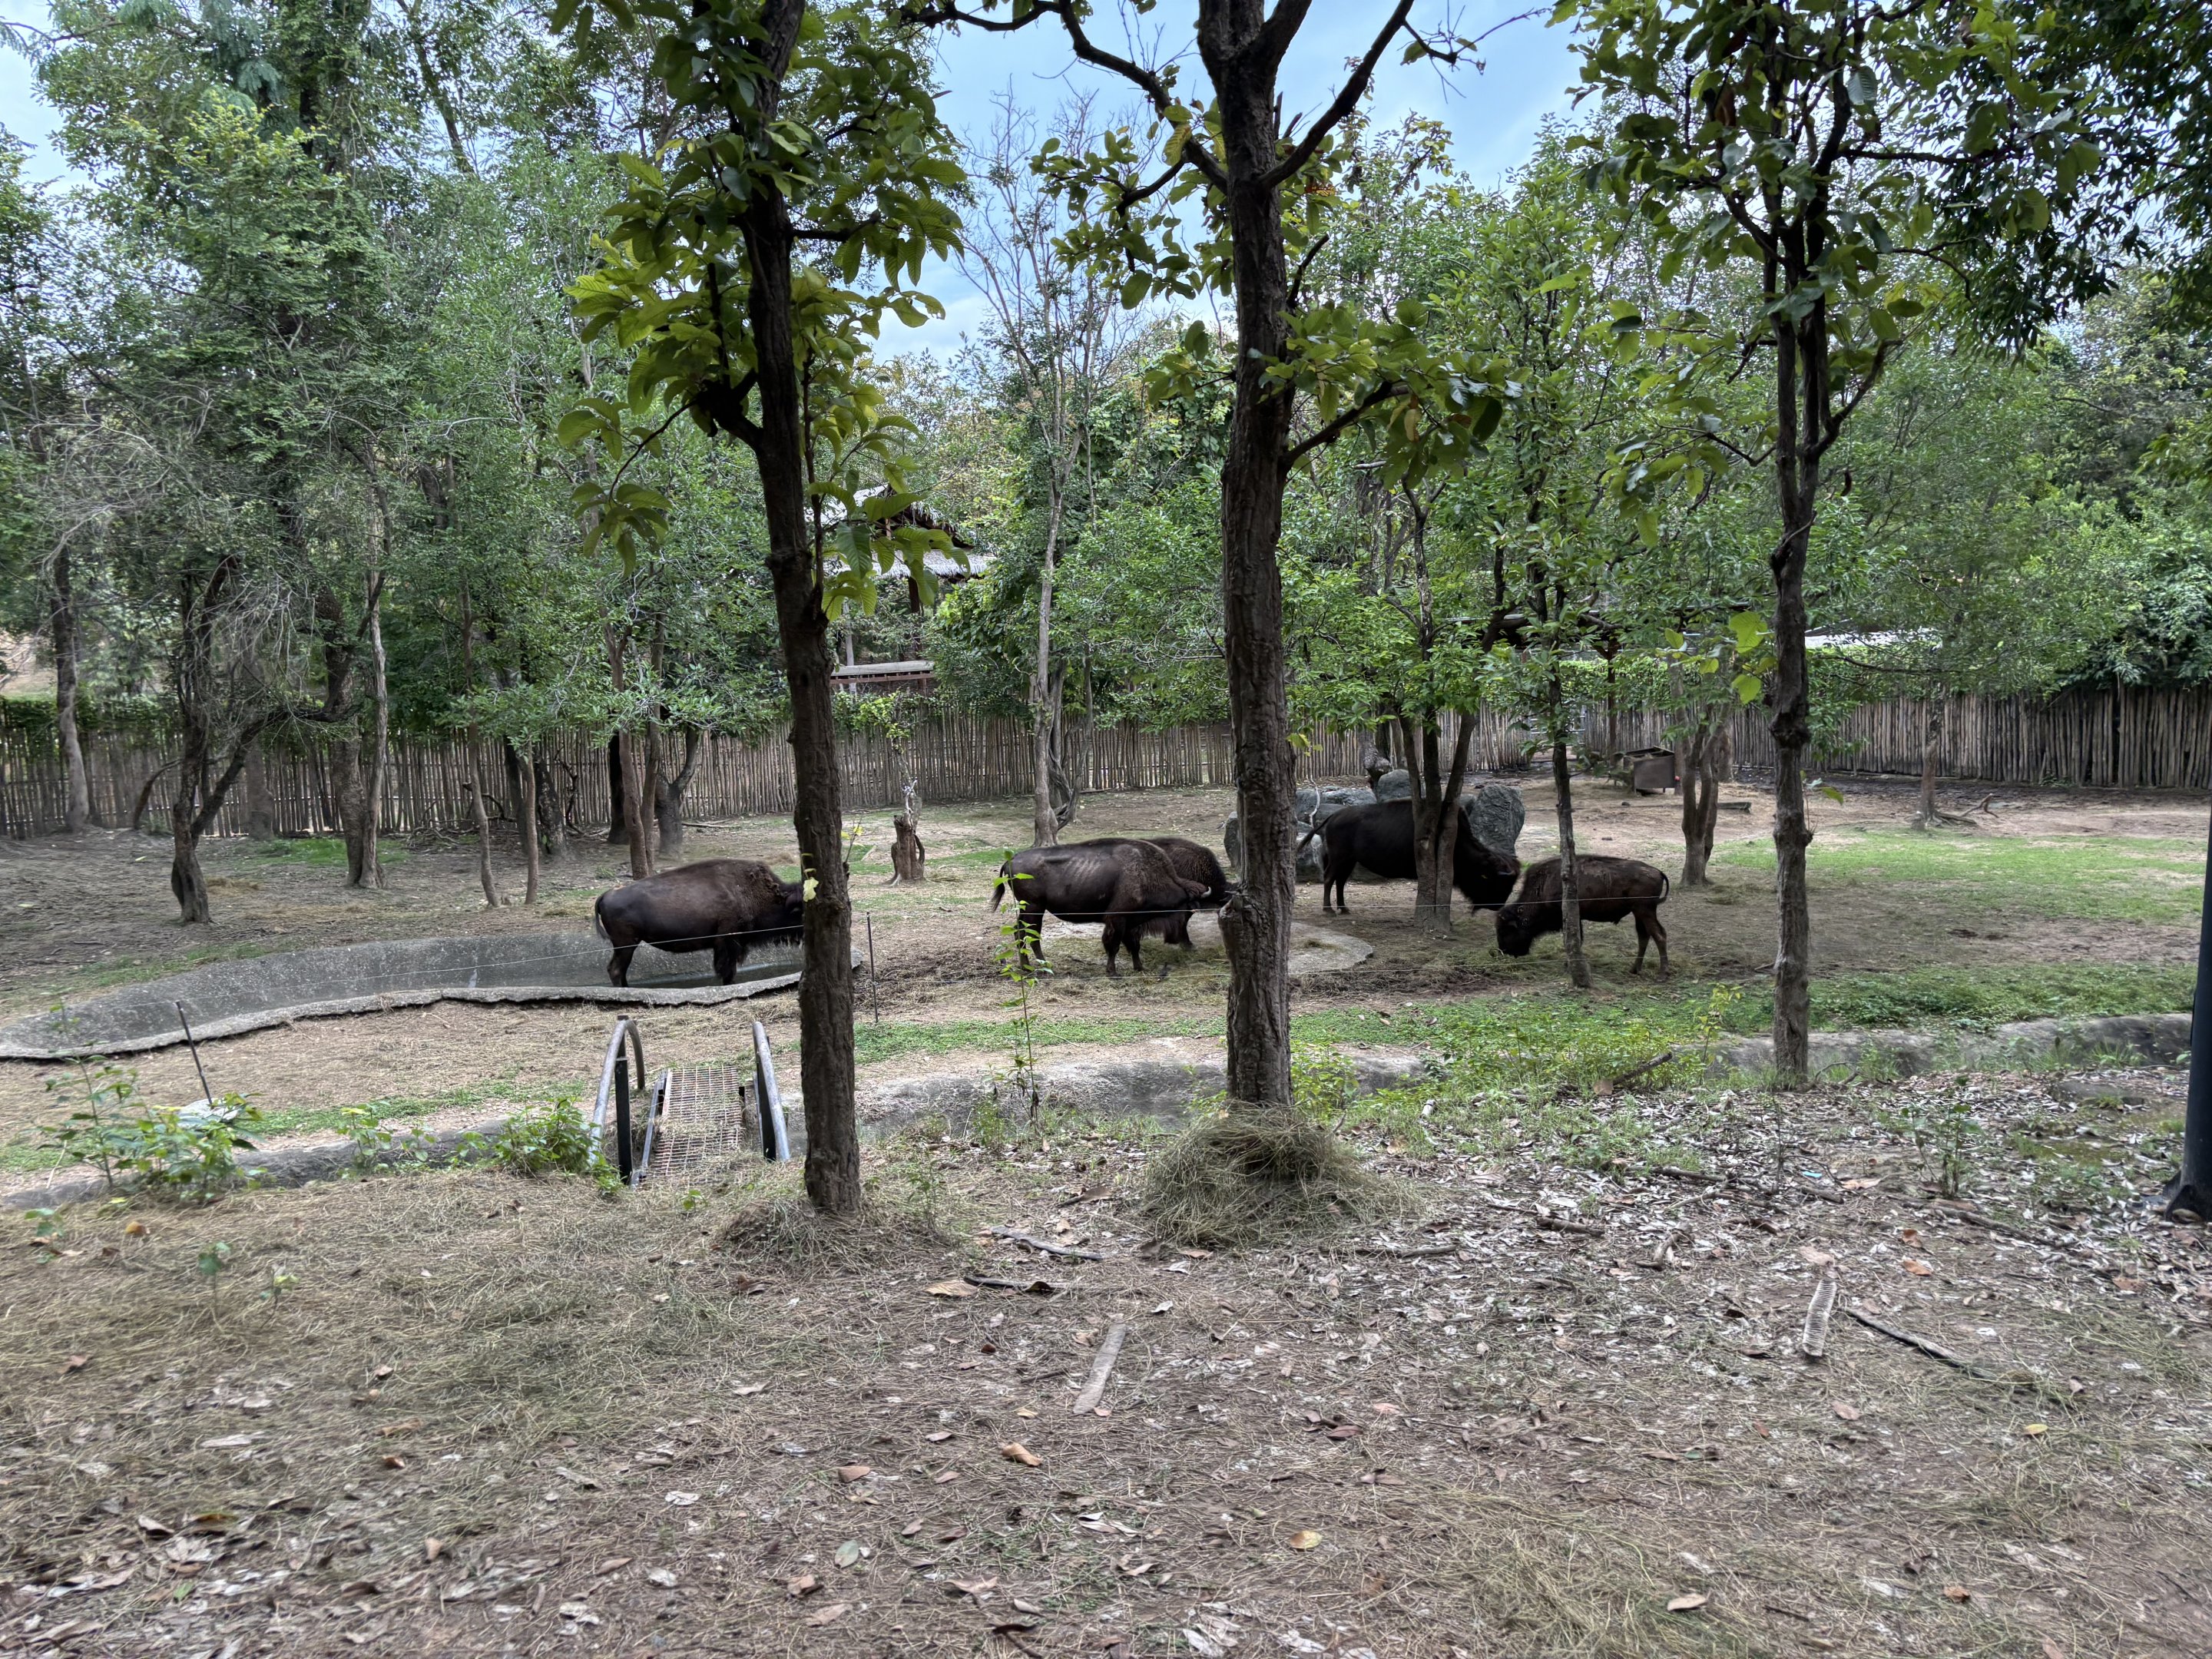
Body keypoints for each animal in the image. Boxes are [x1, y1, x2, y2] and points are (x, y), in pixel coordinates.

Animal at [594, 858, 804, 987]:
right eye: (801, 912)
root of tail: (606, 895)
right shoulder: (728, 942)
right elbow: (727, 971)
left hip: (626, 946)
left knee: (620, 970)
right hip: (626, 945)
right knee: (616, 970)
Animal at [991, 839, 1211, 976]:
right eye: (1187, 910)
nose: (1183, 941)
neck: (1146, 874)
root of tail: (1010, 861)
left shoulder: (1131, 923)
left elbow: (1134, 946)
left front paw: (1140, 968)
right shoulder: (1117, 919)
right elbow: (1113, 945)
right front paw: (1113, 972)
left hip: (1030, 910)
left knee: (1023, 933)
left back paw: (1034, 966)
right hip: (1034, 909)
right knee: (1029, 935)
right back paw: (1039, 967)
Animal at [1299, 800, 1521, 917]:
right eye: (1497, 881)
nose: (1498, 906)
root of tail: (1334, 816)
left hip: (1350, 861)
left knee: (1340, 881)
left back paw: (1344, 909)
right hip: (1340, 859)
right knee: (1330, 878)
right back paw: (1328, 910)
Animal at [1495, 854, 1671, 974]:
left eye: (1506, 930)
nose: (1503, 951)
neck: (1543, 886)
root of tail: (1657, 871)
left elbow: (1573, 940)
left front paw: (1568, 965)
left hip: (1645, 910)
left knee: (1659, 935)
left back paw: (1662, 974)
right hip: (1639, 913)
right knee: (1644, 936)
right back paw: (1634, 969)